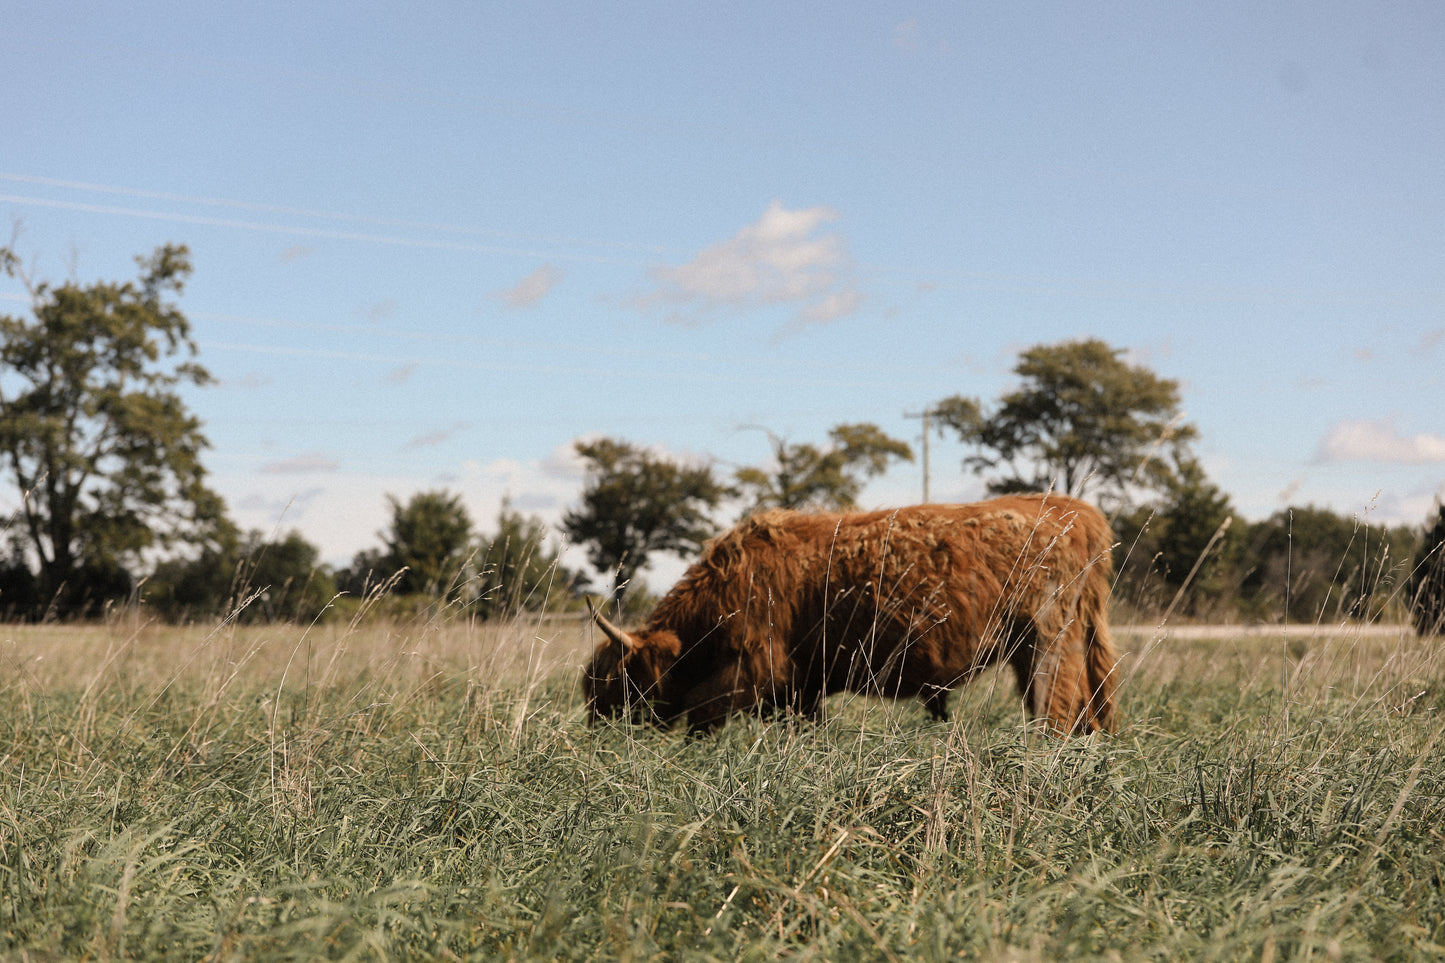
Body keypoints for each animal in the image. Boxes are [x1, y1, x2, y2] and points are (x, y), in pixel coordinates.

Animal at [583, 491, 1115, 731]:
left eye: (619, 682)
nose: (597, 730)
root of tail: (1074, 509)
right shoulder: (799, 687)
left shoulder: (755, 669)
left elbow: (699, 712)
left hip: (1047, 646)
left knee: (1056, 714)